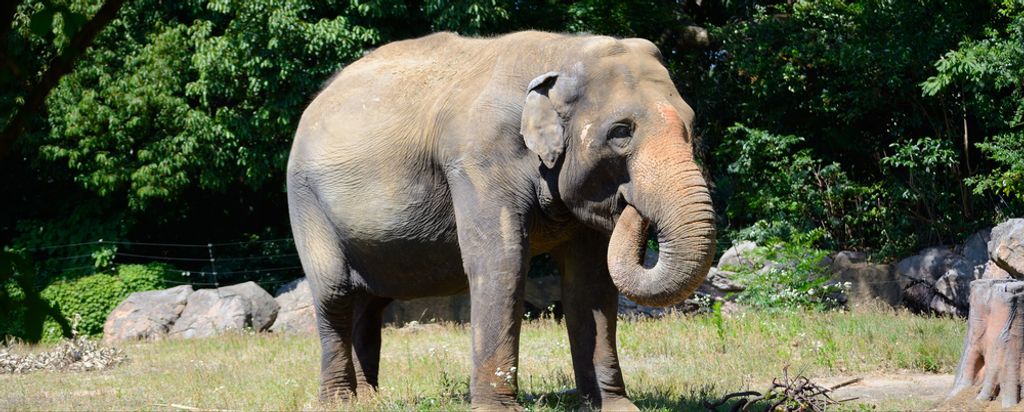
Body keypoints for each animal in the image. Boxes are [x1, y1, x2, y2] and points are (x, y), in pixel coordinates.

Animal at [286, 31, 716, 410]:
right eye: (621, 132)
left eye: (691, 125)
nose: (631, 204)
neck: (562, 51)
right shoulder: (479, 161)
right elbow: (500, 264)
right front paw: (499, 408)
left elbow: (590, 282)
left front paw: (616, 407)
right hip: (305, 203)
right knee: (335, 294)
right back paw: (339, 402)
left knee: (369, 304)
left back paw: (370, 400)